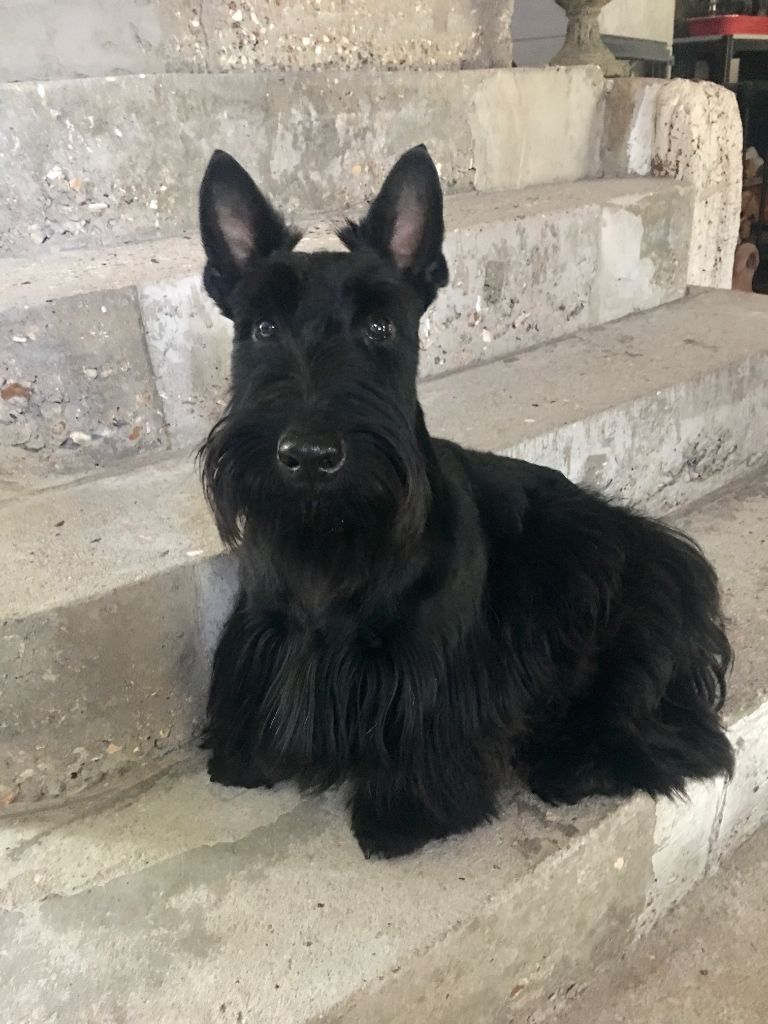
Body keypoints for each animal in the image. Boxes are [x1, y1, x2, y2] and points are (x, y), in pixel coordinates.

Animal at [196, 144, 733, 860]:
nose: (309, 455)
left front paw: (403, 811)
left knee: (653, 716)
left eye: (380, 326)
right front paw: (245, 757)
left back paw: (572, 761)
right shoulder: (262, 640)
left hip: (614, 599)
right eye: (262, 326)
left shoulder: (431, 671)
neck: (337, 544)